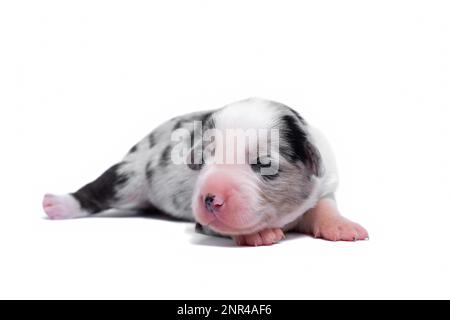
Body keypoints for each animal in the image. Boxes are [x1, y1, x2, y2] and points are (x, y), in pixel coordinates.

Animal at [43, 99, 370, 246]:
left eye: (264, 164)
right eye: (203, 159)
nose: (210, 198)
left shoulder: (324, 185)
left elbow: (325, 206)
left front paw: (343, 227)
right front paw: (259, 234)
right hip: (129, 174)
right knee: (95, 190)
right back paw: (57, 204)